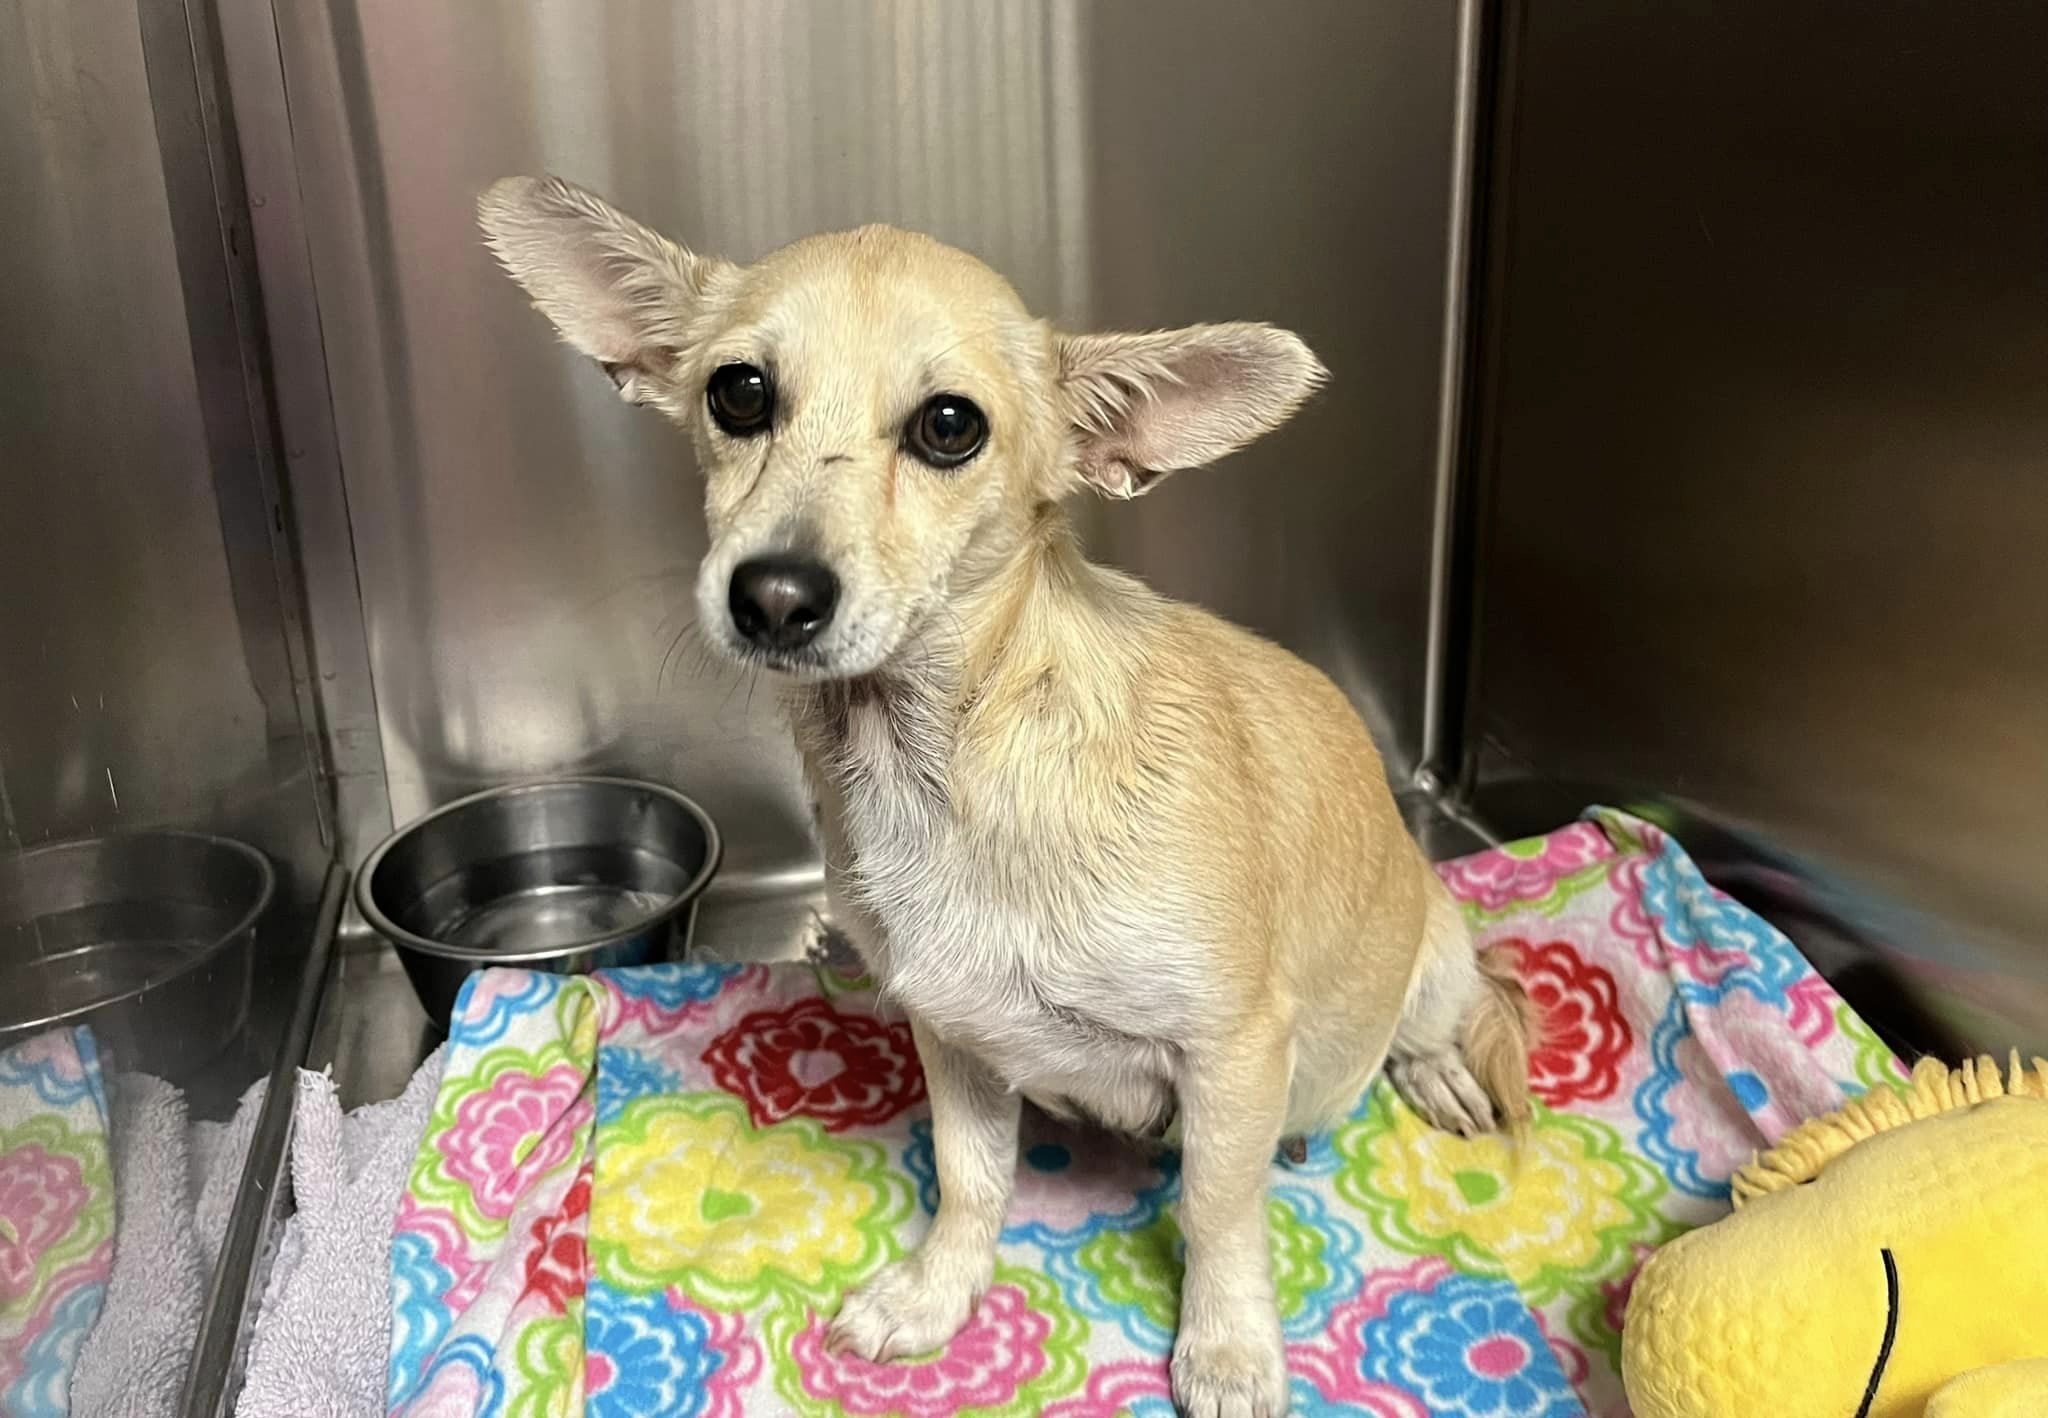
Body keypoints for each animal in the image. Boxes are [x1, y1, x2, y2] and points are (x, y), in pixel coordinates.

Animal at [483, 174, 1540, 1418]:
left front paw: (1227, 1347)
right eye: (736, 393)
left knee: (1445, 1016)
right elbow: (972, 1177)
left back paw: (1436, 1070)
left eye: (950, 426)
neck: (939, 765)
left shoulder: (1233, 1051)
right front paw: (936, 1295)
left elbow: (1216, 1209)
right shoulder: (958, 1036)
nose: (773, 592)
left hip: (1424, 963)